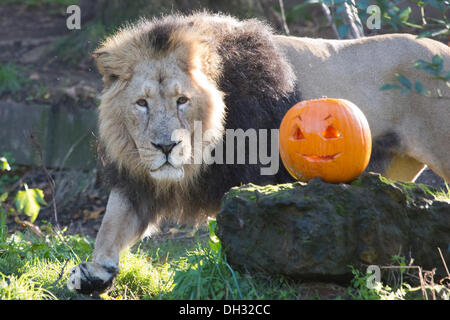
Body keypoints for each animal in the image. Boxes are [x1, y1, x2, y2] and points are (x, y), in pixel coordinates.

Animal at [67, 12, 450, 294]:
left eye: (182, 100)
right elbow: (110, 224)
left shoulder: (256, 177)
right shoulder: (138, 182)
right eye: (141, 103)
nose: (165, 146)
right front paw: (93, 272)